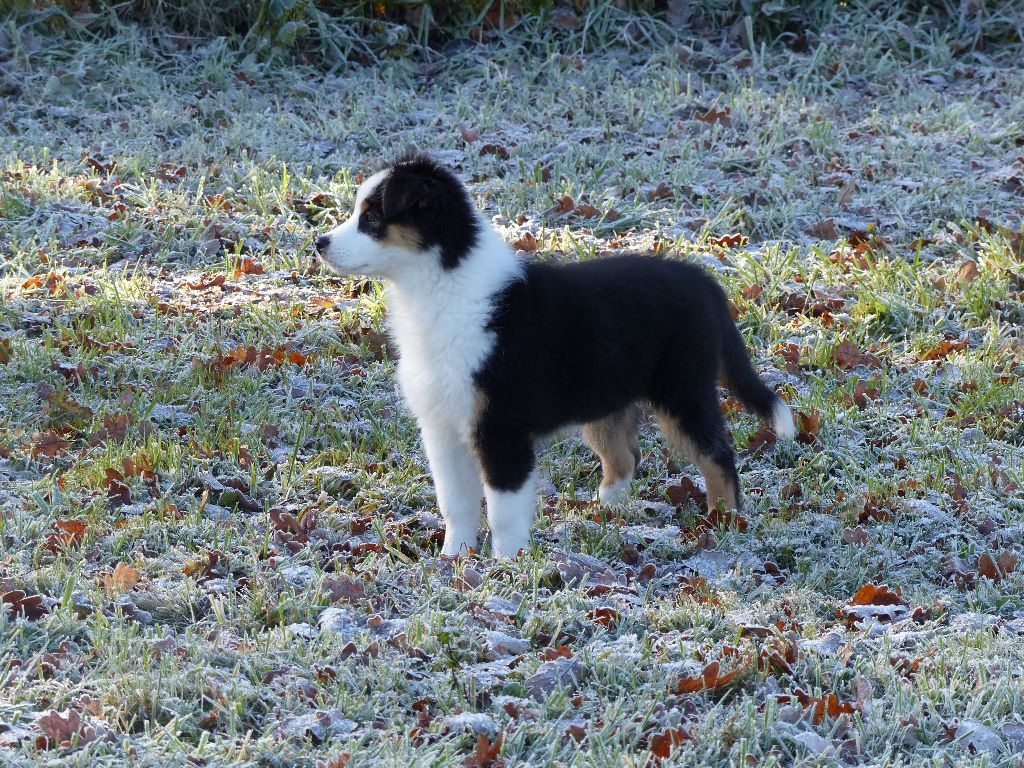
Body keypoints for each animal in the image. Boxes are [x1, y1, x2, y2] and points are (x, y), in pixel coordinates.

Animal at [315, 153, 794, 557]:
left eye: (372, 217)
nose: (319, 242)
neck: (438, 283)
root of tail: (704, 281)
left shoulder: (501, 426)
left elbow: (503, 506)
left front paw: (504, 566)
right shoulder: (442, 427)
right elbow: (456, 502)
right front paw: (454, 560)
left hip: (683, 389)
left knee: (718, 456)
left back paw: (723, 524)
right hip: (604, 395)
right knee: (624, 457)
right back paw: (607, 512)